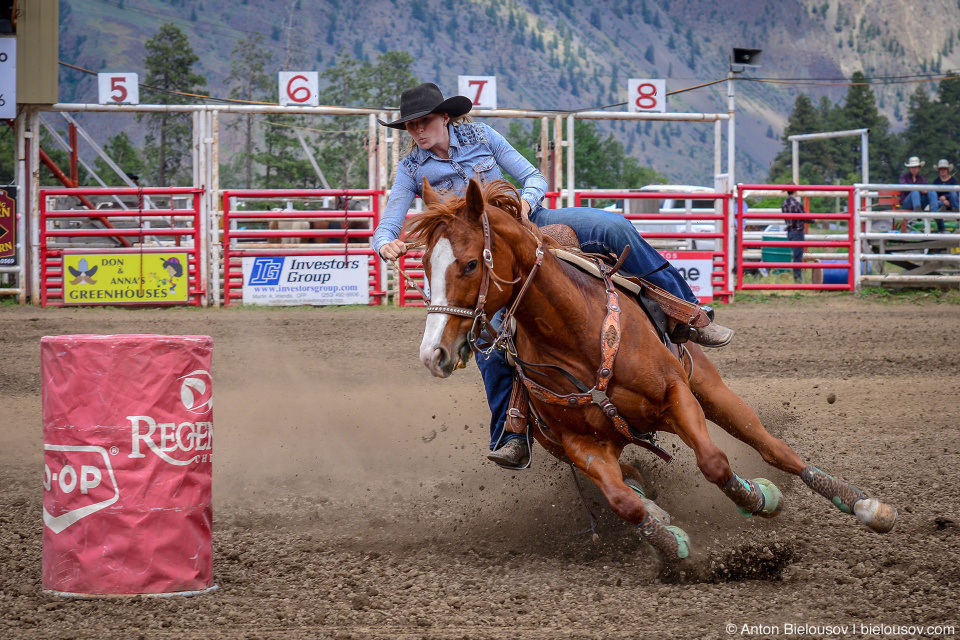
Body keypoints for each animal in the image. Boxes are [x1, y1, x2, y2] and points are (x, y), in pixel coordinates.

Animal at [408, 178, 896, 564]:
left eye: (471, 263)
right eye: (424, 265)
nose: (433, 354)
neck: (575, 336)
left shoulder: (676, 398)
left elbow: (715, 463)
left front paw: (759, 498)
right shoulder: (581, 444)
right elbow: (623, 502)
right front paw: (671, 544)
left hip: (711, 390)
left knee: (772, 447)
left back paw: (864, 505)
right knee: (634, 481)